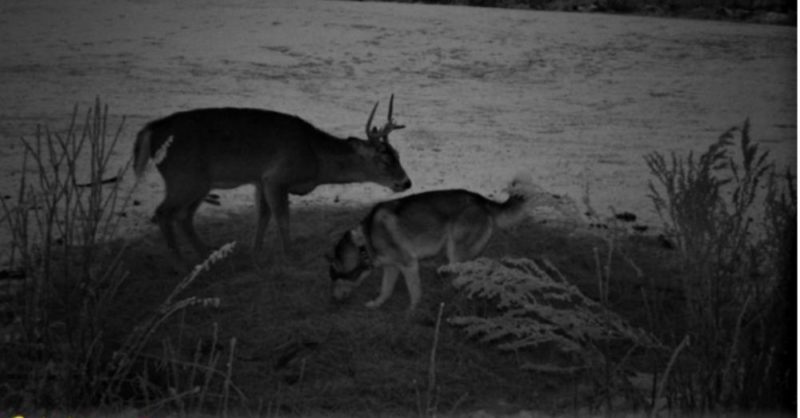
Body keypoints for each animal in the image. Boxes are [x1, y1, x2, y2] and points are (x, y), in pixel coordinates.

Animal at [133, 96, 412, 260]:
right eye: (384, 160)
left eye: (398, 154)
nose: (406, 182)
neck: (315, 157)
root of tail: (150, 130)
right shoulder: (277, 177)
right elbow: (282, 218)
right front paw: (289, 254)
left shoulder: (260, 179)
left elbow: (263, 215)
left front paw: (255, 250)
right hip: (185, 177)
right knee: (164, 212)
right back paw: (179, 262)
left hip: (196, 182)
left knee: (182, 216)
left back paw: (207, 254)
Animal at [328, 176, 536, 310]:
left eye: (334, 278)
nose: (333, 301)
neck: (365, 240)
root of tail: (480, 199)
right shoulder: (391, 267)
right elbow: (385, 290)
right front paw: (377, 304)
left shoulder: (409, 264)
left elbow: (414, 292)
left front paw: (411, 313)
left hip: (456, 253)